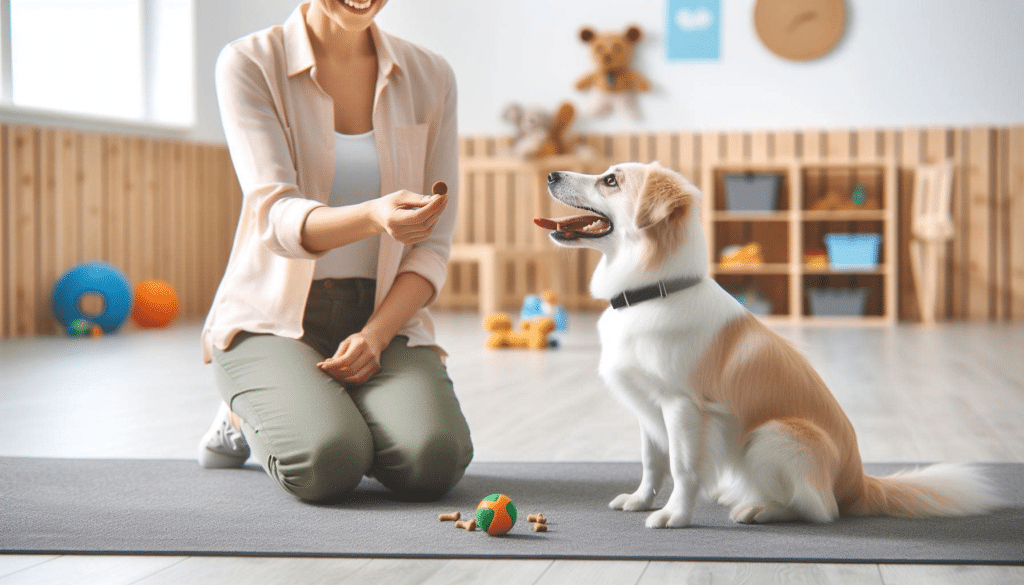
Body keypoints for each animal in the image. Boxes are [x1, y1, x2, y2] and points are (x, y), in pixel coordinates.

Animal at [536, 162, 999, 528]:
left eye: (610, 180)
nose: (551, 174)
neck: (653, 291)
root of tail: (858, 484)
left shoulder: (682, 406)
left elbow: (683, 468)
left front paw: (674, 516)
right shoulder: (647, 407)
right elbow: (652, 463)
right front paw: (640, 500)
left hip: (772, 435)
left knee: (821, 510)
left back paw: (759, 509)